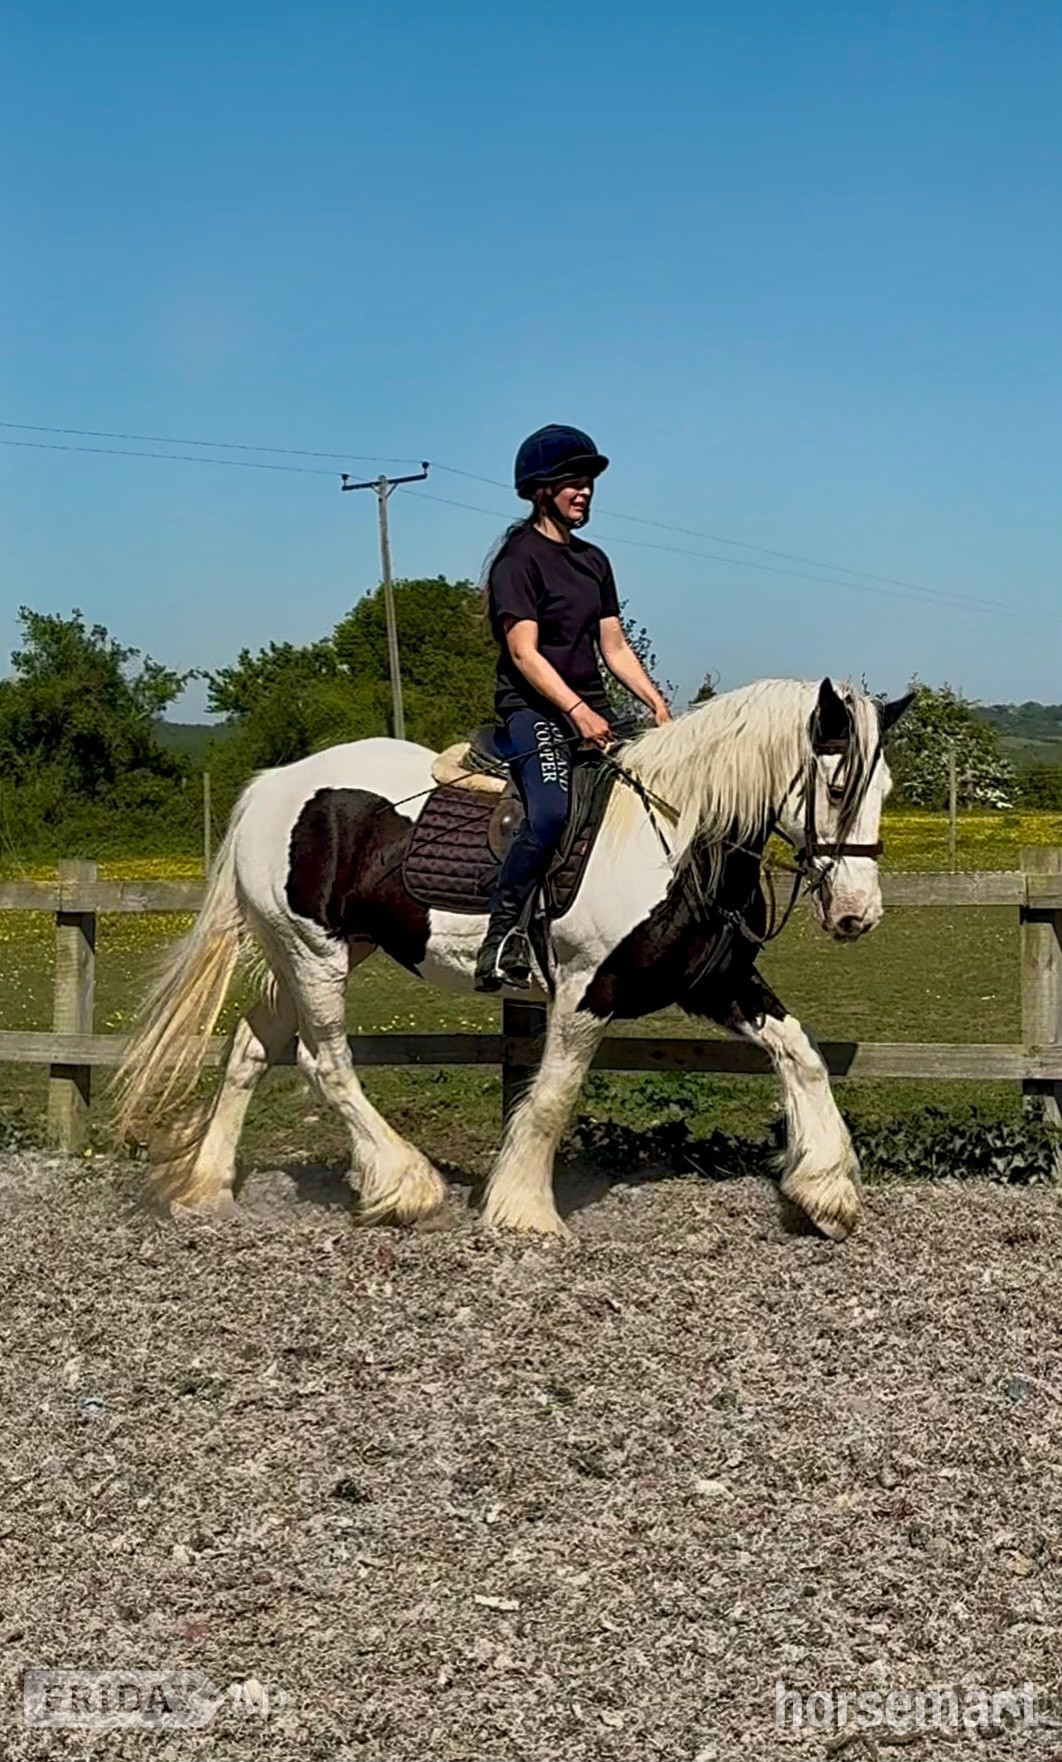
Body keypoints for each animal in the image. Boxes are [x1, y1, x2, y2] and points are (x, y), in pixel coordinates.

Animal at [113, 675, 911, 1241]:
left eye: (886, 789)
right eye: (838, 786)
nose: (857, 915)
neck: (679, 837)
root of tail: (272, 785)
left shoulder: (715, 981)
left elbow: (800, 1055)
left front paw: (826, 1192)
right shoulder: (588, 988)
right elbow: (555, 1093)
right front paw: (524, 1208)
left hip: (315, 951)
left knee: (250, 1049)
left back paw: (208, 1187)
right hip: (315, 955)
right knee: (325, 1061)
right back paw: (405, 1187)